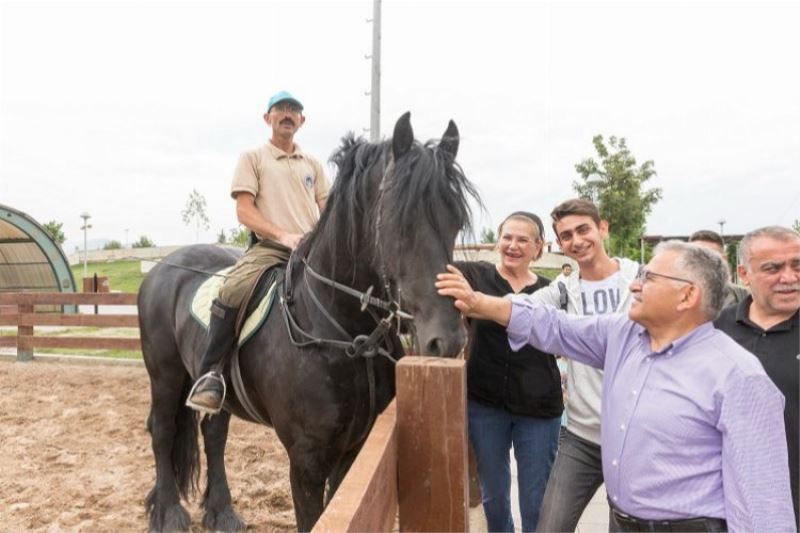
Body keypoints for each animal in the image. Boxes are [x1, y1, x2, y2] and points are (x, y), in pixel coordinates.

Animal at [138, 111, 478, 528]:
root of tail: (164, 266)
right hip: (165, 374)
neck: (344, 333)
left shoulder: (356, 449)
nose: (447, 340)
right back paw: (169, 513)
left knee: (214, 432)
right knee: (162, 431)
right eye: (400, 222)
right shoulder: (307, 459)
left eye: (455, 221)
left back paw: (222, 513)